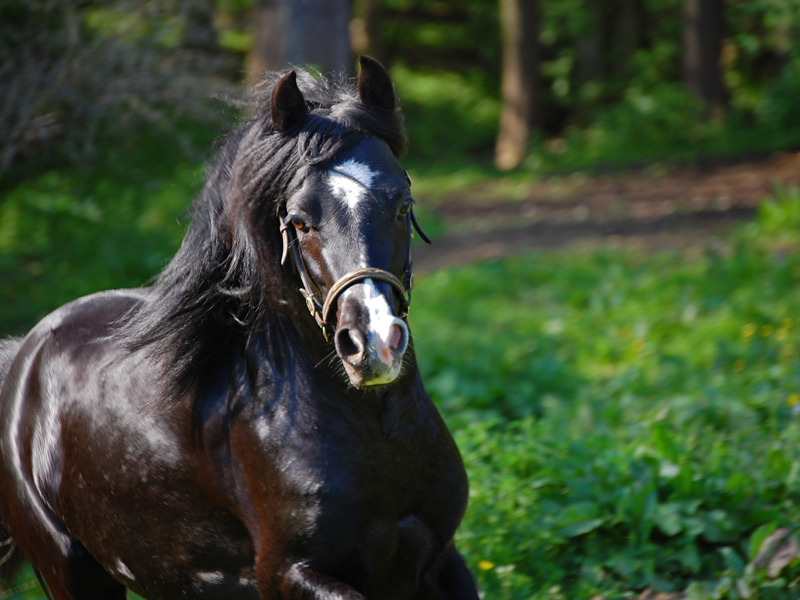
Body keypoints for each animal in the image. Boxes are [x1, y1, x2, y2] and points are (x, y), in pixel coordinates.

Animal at [0, 57, 478, 600]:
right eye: (300, 221)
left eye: (403, 205)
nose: (373, 343)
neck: (378, 436)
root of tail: (24, 356)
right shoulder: (288, 573)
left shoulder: (440, 561)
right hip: (71, 570)